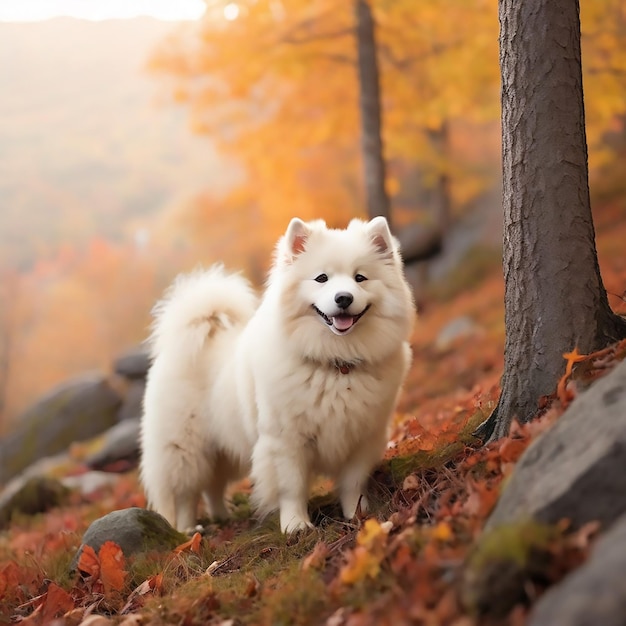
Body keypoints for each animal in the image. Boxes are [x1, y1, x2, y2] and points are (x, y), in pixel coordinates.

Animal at [141, 216, 414, 532]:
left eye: (360, 278)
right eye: (322, 278)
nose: (344, 298)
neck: (336, 363)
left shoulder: (363, 436)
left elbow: (353, 483)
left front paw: (358, 515)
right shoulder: (286, 440)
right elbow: (291, 487)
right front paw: (296, 525)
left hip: (223, 447)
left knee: (212, 486)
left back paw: (221, 517)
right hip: (186, 449)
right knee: (185, 493)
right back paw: (187, 530)